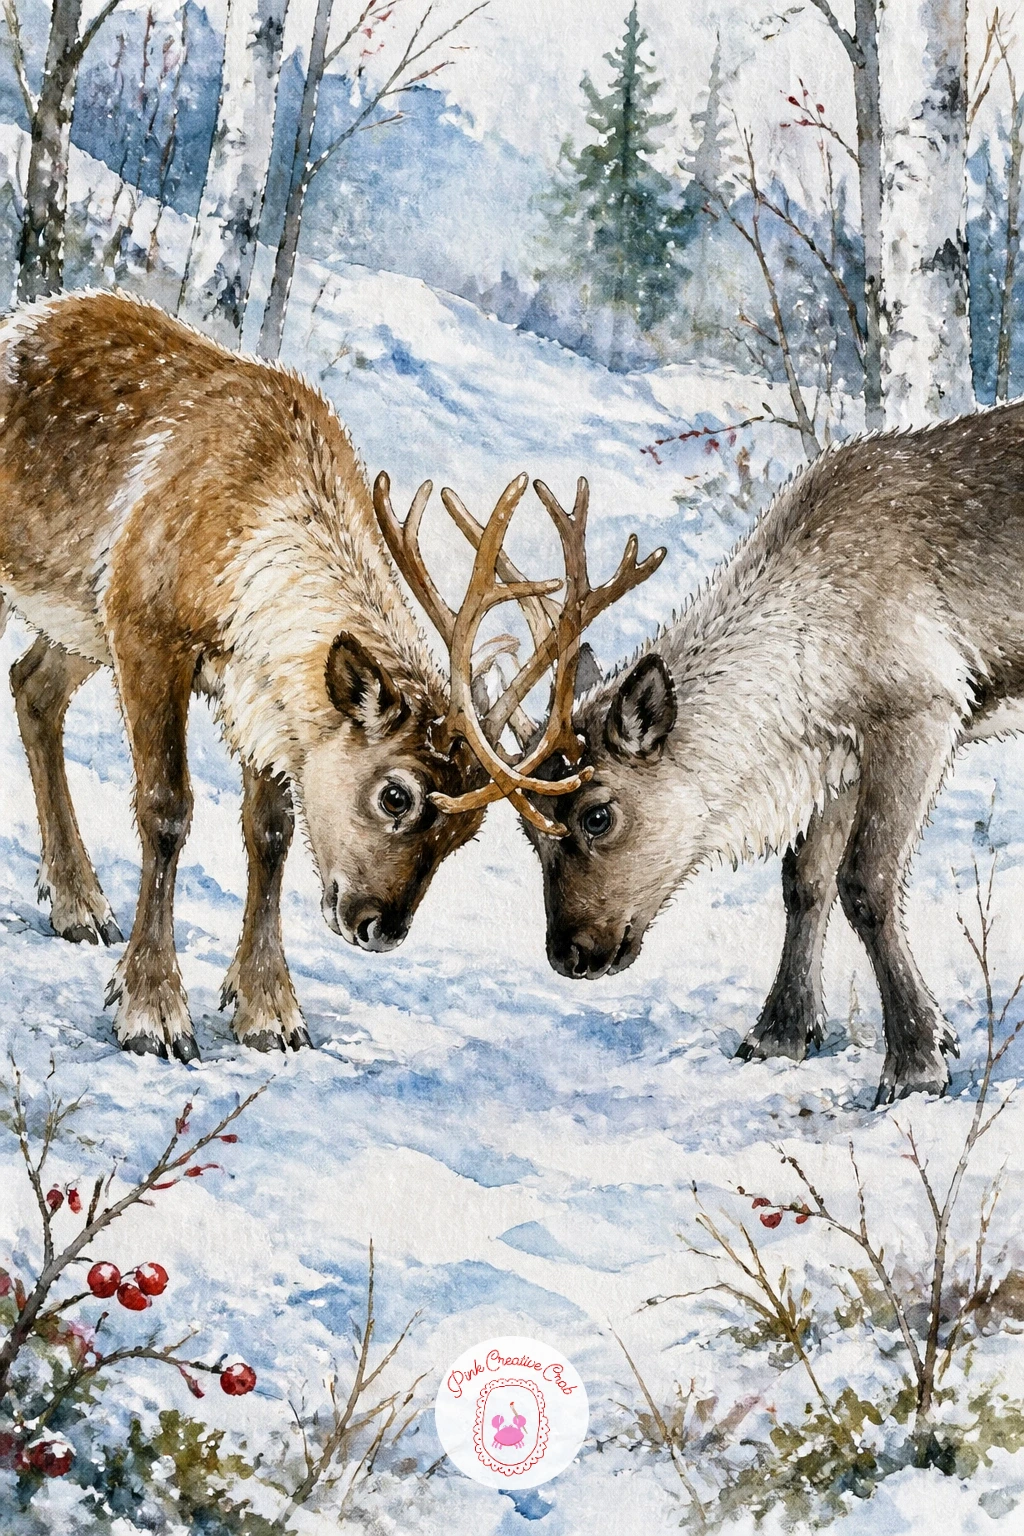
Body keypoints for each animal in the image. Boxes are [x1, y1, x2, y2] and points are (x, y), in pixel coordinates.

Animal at [0, 288, 662, 1063]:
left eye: (466, 834)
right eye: (396, 795)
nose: (380, 928)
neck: (242, 551)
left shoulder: (255, 694)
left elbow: (272, 829)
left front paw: (269, 1008)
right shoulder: (144, 625)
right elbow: (166, 809)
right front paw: (153, 1012)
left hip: (74, 618)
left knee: (32, 685)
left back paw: (78, 904)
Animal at [514, 410, 1024, 1105]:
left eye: (598, 815)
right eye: (529, 832)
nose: (568, 955)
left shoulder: (923, 710)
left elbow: (866, 882)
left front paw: (918, 1058)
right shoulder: (838, 757)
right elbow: (804, 882)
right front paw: (780, 1032)